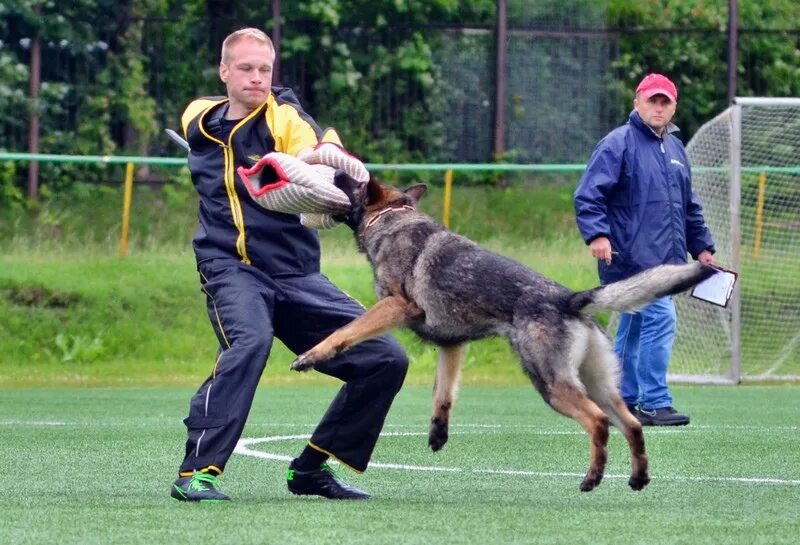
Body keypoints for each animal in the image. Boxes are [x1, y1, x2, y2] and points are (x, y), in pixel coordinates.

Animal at [290, 176, 716, 490]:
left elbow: (347, 330)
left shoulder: (397, 306)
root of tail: (569, 298)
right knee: (631, 424)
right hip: (597, 384)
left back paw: (593, 478)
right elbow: (443, 393)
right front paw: (438, 432)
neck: (393, 218)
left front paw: (314, 354)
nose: (337, 172)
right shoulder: (452, 345)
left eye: (353, 182)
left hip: (551, 384)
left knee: (598, 422)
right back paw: (638, 477)